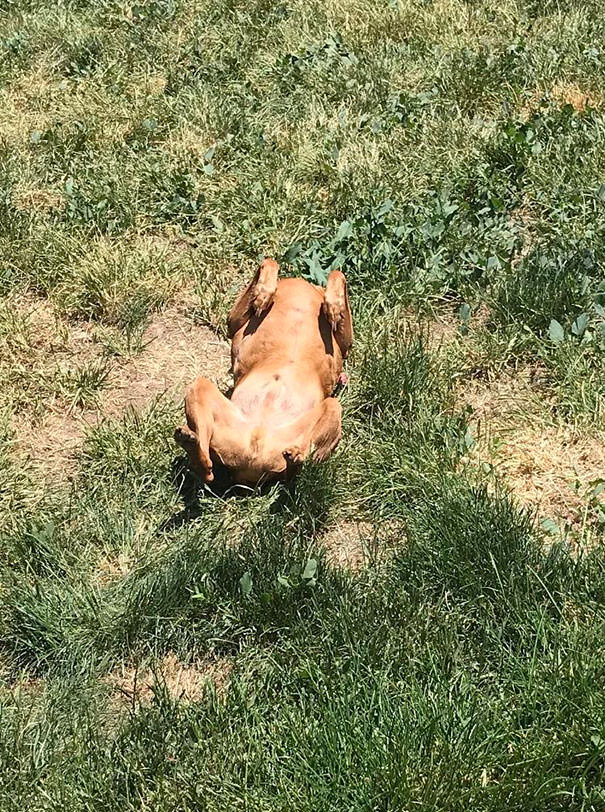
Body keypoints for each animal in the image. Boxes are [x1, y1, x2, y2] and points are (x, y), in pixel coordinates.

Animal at [175, 260, 352, 486]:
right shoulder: (233, 322)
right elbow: (269, 262)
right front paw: (264, 294)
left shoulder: (345, 344)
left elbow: (337, 274)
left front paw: (333, 306)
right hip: (203, 393)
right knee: (208, 460)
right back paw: (191, 444)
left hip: (330, 410)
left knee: (295, 470)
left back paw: (295, 456)